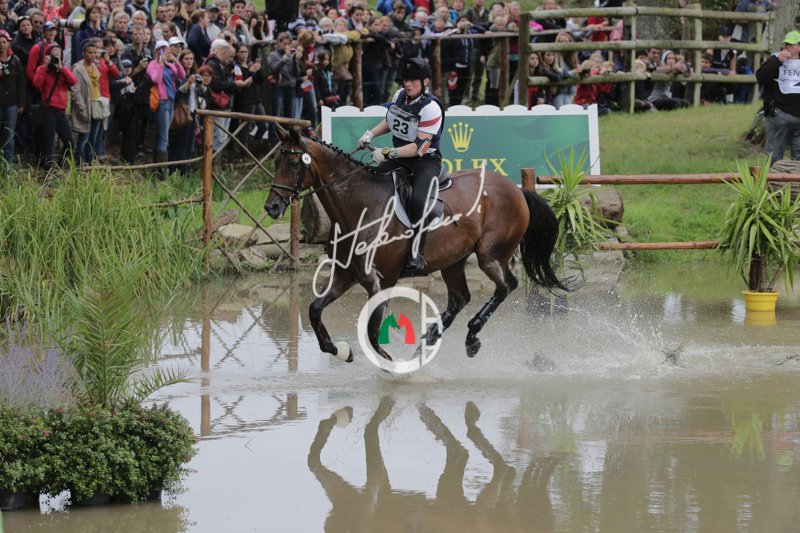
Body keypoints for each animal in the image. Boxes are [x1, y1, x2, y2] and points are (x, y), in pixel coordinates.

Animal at [264, 126, 566, 363]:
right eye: (276, 162)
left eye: (294, 164)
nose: (271, 207)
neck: (361, 206)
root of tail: (517, 190)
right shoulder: (345, 274)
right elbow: (315, 310)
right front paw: (341, 351)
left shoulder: (380, 281)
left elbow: (372, 334)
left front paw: (393, 367)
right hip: (454, 260)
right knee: (461, 298)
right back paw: (429, 339)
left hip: (489, 255)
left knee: (505, 287)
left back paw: (470, 337)